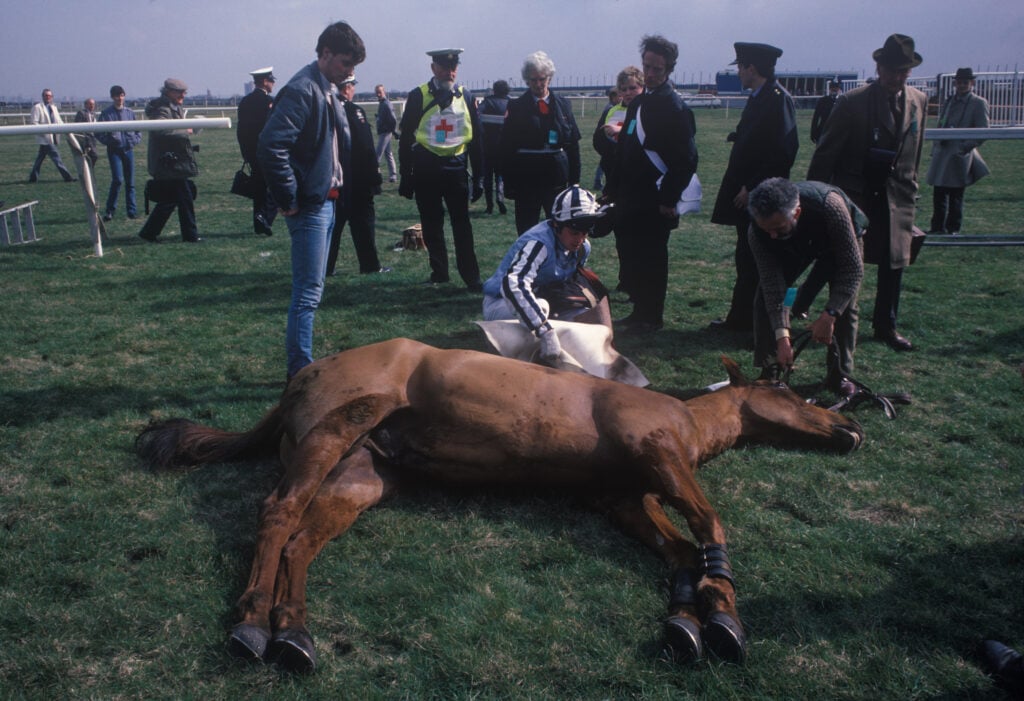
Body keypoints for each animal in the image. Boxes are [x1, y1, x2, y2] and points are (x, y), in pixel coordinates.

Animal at [132, 337, 860, 671]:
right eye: (789, 393)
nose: (850, 427)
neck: (684, 418)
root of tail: (301, 376)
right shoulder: (659, 454)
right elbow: (708, 523)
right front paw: (722, 612)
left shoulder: (625, 497)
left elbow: (681, 550)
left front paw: (694, 619)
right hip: (332, 434)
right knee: (278, 512)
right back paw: (255, 622)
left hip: (360, 477)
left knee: (303, 538)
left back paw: (294, 632)